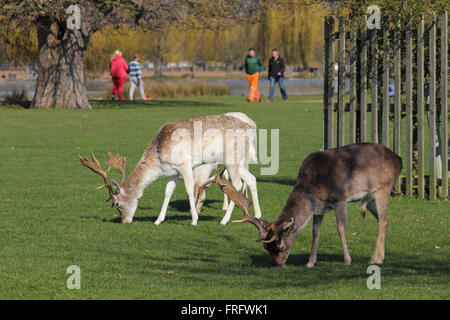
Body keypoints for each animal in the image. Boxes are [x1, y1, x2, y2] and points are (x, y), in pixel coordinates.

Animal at [78, 112, 258, 225]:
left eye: (116, 204)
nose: (124, 221)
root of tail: (251, 128)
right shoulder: (173, 172)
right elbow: (167, 192)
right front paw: (158, 220)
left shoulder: (185, 164)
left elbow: (188, 190)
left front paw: (194, 220)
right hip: (242, 161)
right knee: (251, 179)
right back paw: (257, 215)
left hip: (231, 158)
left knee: (237, 184)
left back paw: (224, 220)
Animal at [216, 144, 402, 266]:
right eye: (266, 247)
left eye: (280, 246)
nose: (276, 264)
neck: (313, 185)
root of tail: (399, 160)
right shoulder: (319, 208)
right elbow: (315, 232)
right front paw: (310, 263)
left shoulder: (340, 199)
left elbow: (341, 229)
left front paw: (347, 260)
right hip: (370, 199)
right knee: (385, 219)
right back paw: (381, 257)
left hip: (383, 189)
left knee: (383, 219)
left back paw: (374, 259)